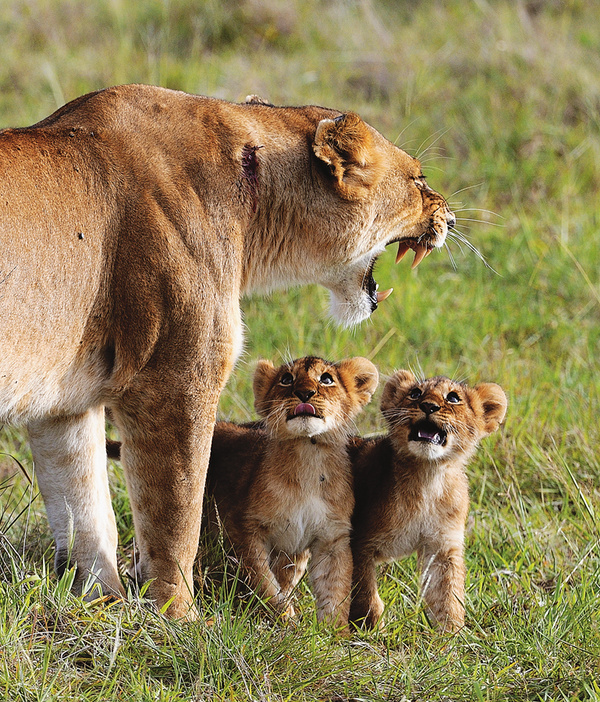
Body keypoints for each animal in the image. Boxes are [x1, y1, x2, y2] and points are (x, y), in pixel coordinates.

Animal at [0, 85, 452, 620]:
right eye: (419, 179)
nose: (448, 214)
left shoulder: (64, 399)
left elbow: (84, 511)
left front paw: (101, 606)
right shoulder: (175, 380)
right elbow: (176, 514)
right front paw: (177, 616)